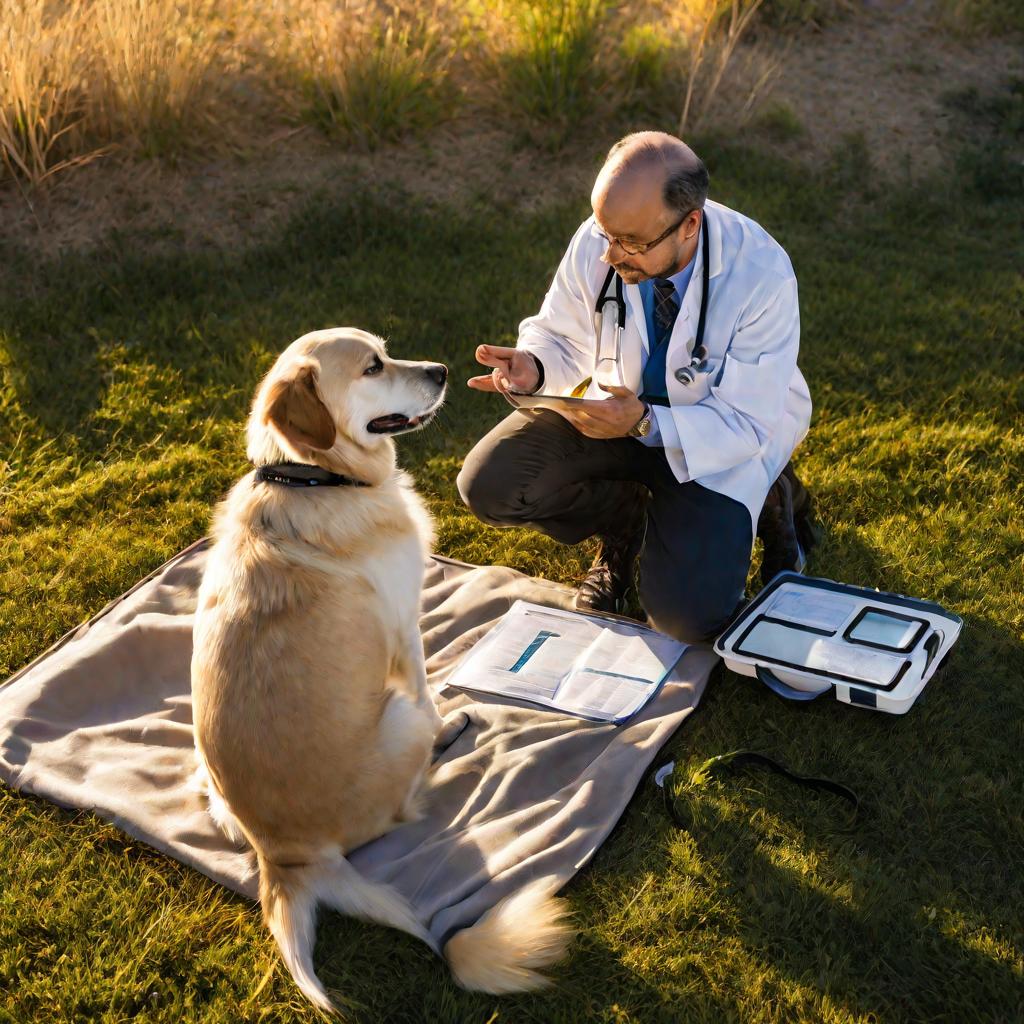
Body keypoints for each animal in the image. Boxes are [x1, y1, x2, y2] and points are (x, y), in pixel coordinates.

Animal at [189, 327, 573, 1007]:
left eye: (386, 349)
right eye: (372, 367)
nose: (443, 369)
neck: (313, 478)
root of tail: (282, 859)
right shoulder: (403, 626)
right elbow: (427, 683)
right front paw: (450, 715)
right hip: (397, 720)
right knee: (409, 796)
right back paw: (449, 748)